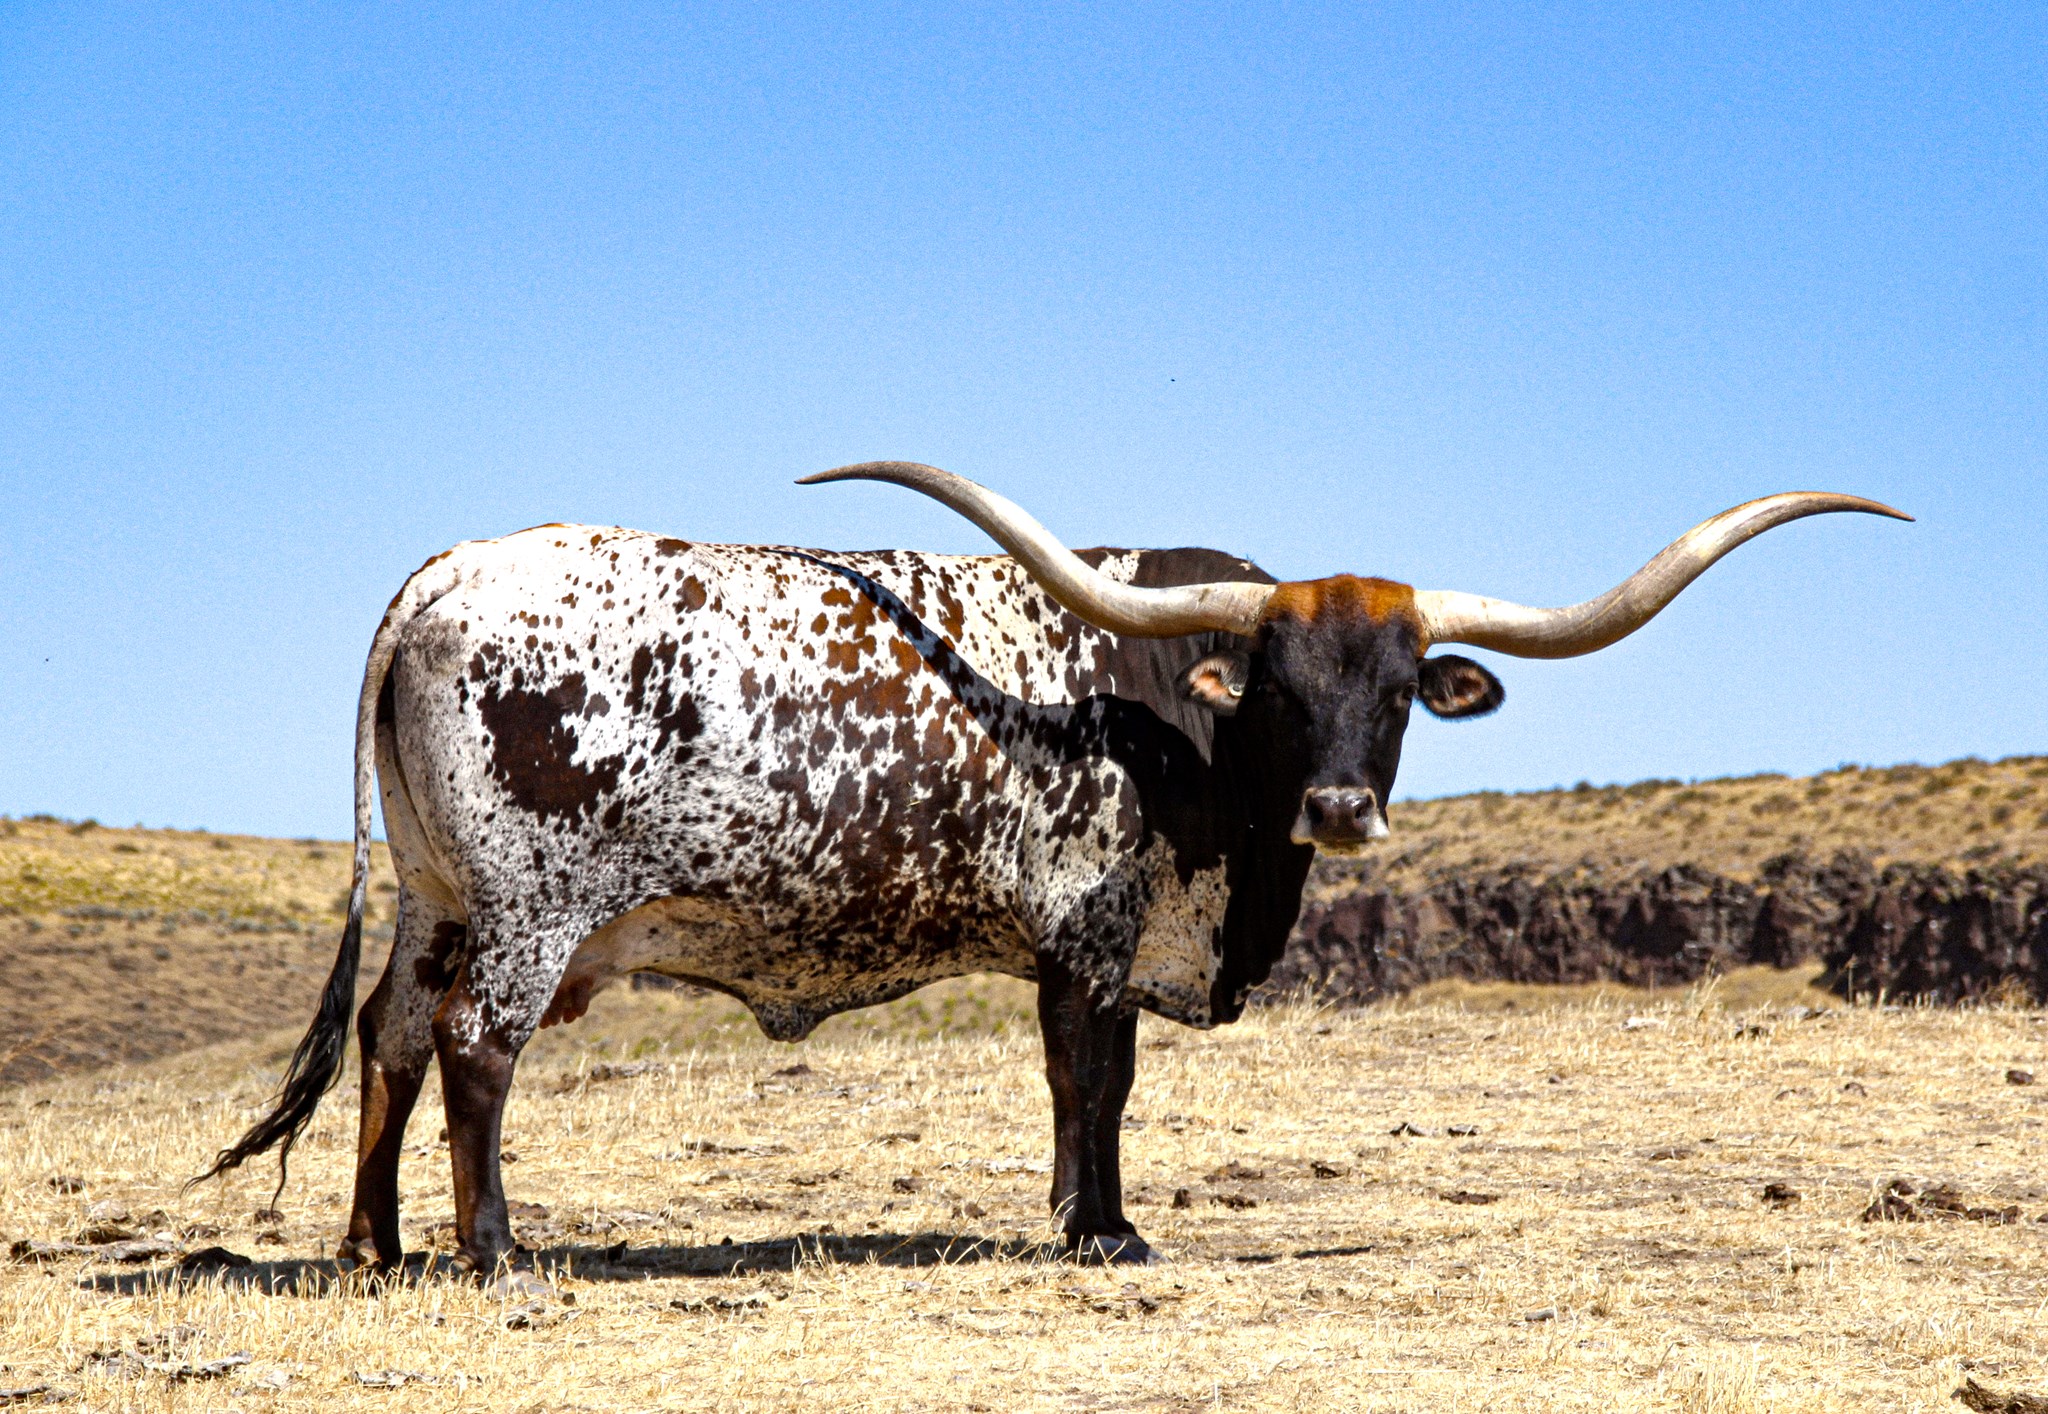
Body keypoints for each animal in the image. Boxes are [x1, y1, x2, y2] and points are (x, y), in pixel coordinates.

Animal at [201, 461, 1905, 1277]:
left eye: (1403, 689)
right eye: (1279, 684)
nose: (1343, 805)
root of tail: (443, 574)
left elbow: (1091, 1079)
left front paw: (1086, 1213)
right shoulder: (1090, 925)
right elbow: (1097, 1077)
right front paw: (1104, 1228)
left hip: (435, 898)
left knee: (389, 1041)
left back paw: (374, 1246)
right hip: (531, 909)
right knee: (474, 1051)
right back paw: (494, 1251)